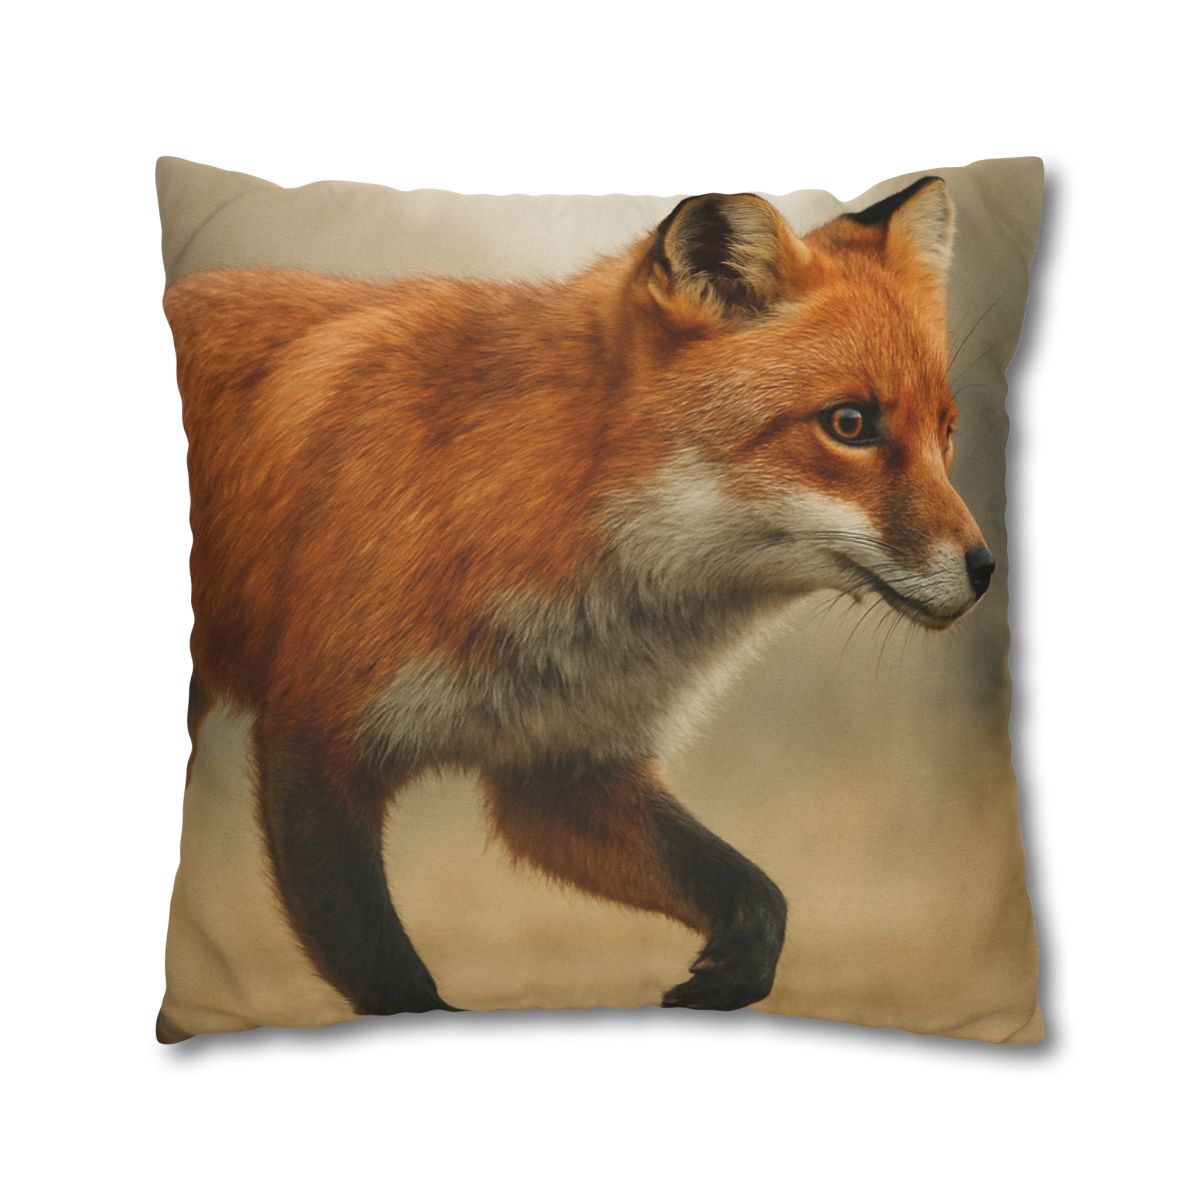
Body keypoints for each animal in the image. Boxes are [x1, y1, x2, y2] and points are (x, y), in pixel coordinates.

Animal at [163, 176, 995, 1030]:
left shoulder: (561, 770)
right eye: (850, 424)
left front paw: (730, 975)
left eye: (946, 433)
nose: (986, 569)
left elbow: (758, 894)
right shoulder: (314, 744)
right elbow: (391, 976)